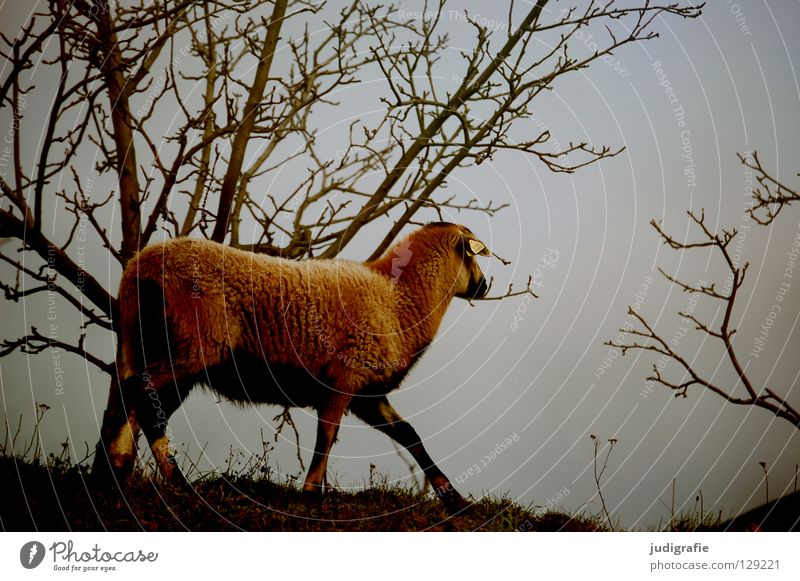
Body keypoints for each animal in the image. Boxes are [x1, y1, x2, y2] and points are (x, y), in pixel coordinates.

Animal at [96, 220, 490, 510]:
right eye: (474, 256)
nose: (485, 285)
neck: (396, 299)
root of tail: (139, 269)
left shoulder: (368, 393)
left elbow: (410, 436)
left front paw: (454, 499)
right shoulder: (344, 379)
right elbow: (326, 437)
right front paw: (311, 495)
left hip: (146, 346)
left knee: (132, 398)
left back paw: (118, 471)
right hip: (193, 346)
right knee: (140, 395)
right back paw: (159, 479)